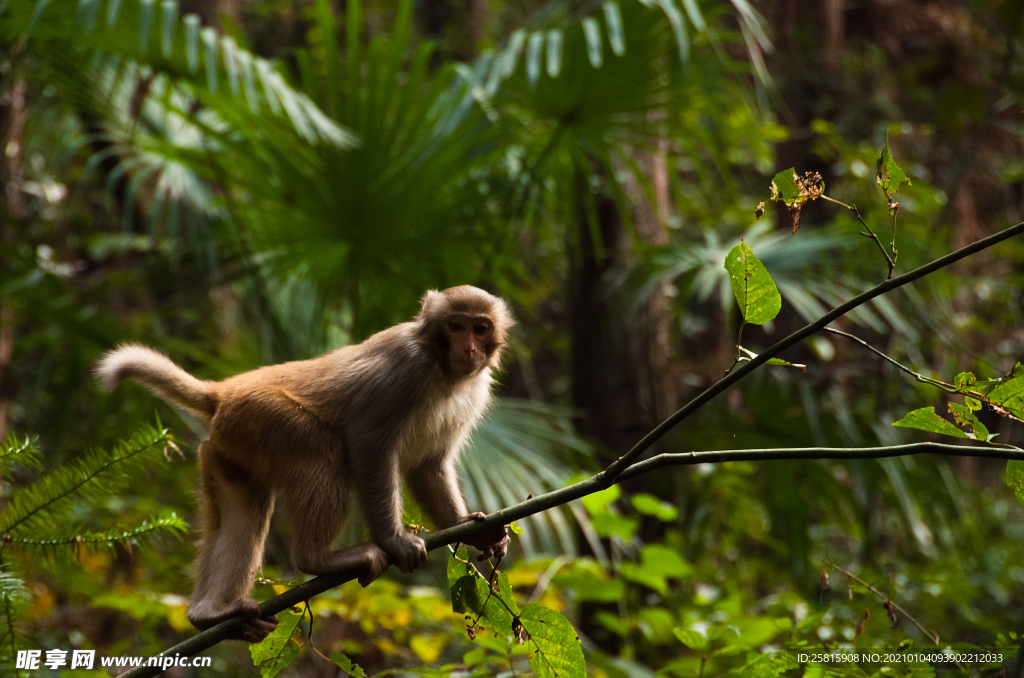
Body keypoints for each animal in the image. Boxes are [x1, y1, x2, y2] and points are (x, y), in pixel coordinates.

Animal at [97, 284, 512, 643]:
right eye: (455, 325)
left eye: (480, 327)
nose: (470, 348)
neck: (443, 368)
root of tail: (223, 391)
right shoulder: (406, 370)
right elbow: (370, 446)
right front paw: (394, 541)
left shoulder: (474, 391)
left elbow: (428, 466)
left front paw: (471, 530)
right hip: (262, 417)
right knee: (321, 450)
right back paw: (318, 560)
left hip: (226, 447)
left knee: (245, 508)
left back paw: (211, 614)